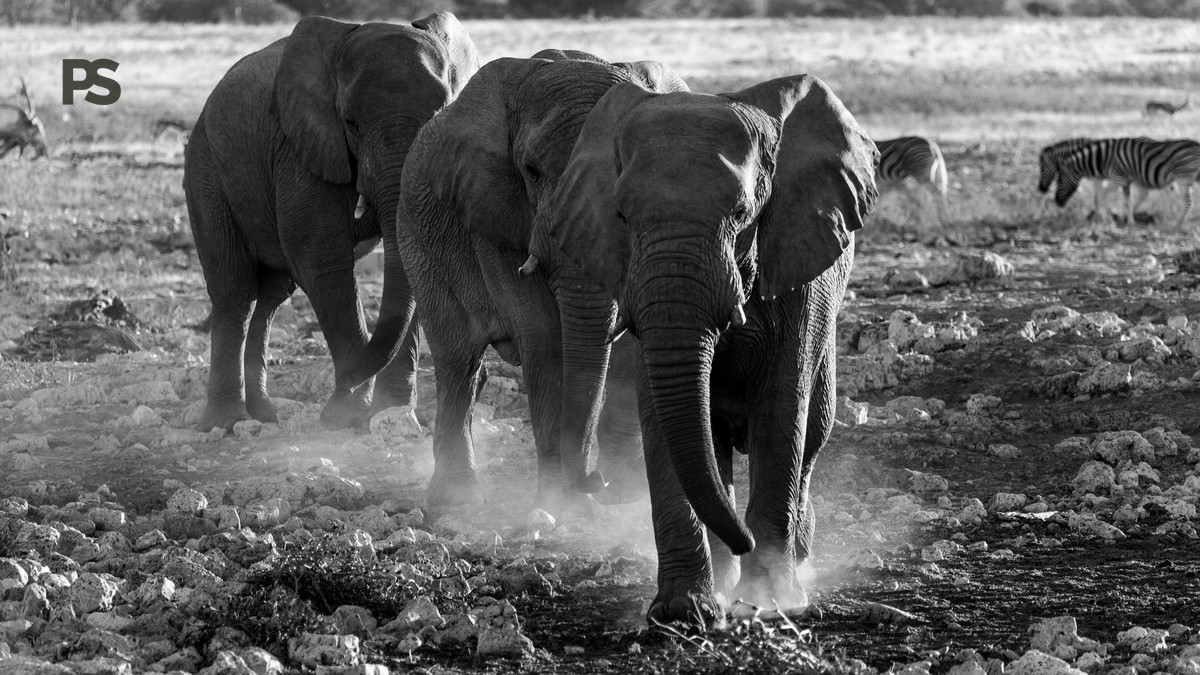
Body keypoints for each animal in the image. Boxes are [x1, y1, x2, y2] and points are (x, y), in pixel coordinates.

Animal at [183, 13, 479, 431]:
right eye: (351, 123)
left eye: (440, 116)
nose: (334, 395)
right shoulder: (300, 147)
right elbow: (323, 262)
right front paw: (346, 416)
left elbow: (416, 259)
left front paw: (392, 415)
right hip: (206, 170)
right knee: (235, 293)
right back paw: (226, 422)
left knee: (270, 296)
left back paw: (265, 414)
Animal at [394, 52, 685, 510]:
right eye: (531, 171)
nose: (594, 480)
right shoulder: (493, 209)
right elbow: (543, 333)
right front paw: (560, 506)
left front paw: (623, 496)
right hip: (416, 238)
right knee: (458, 358)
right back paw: (456, 500)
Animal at [529, 74, 878, 624]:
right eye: (621, 216)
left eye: (742, 213)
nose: (597, 482)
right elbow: (662, 417)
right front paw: (681, 610)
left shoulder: (797, 266)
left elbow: (781, 408)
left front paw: (769, 602)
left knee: (812, 432)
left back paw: (794, 560)